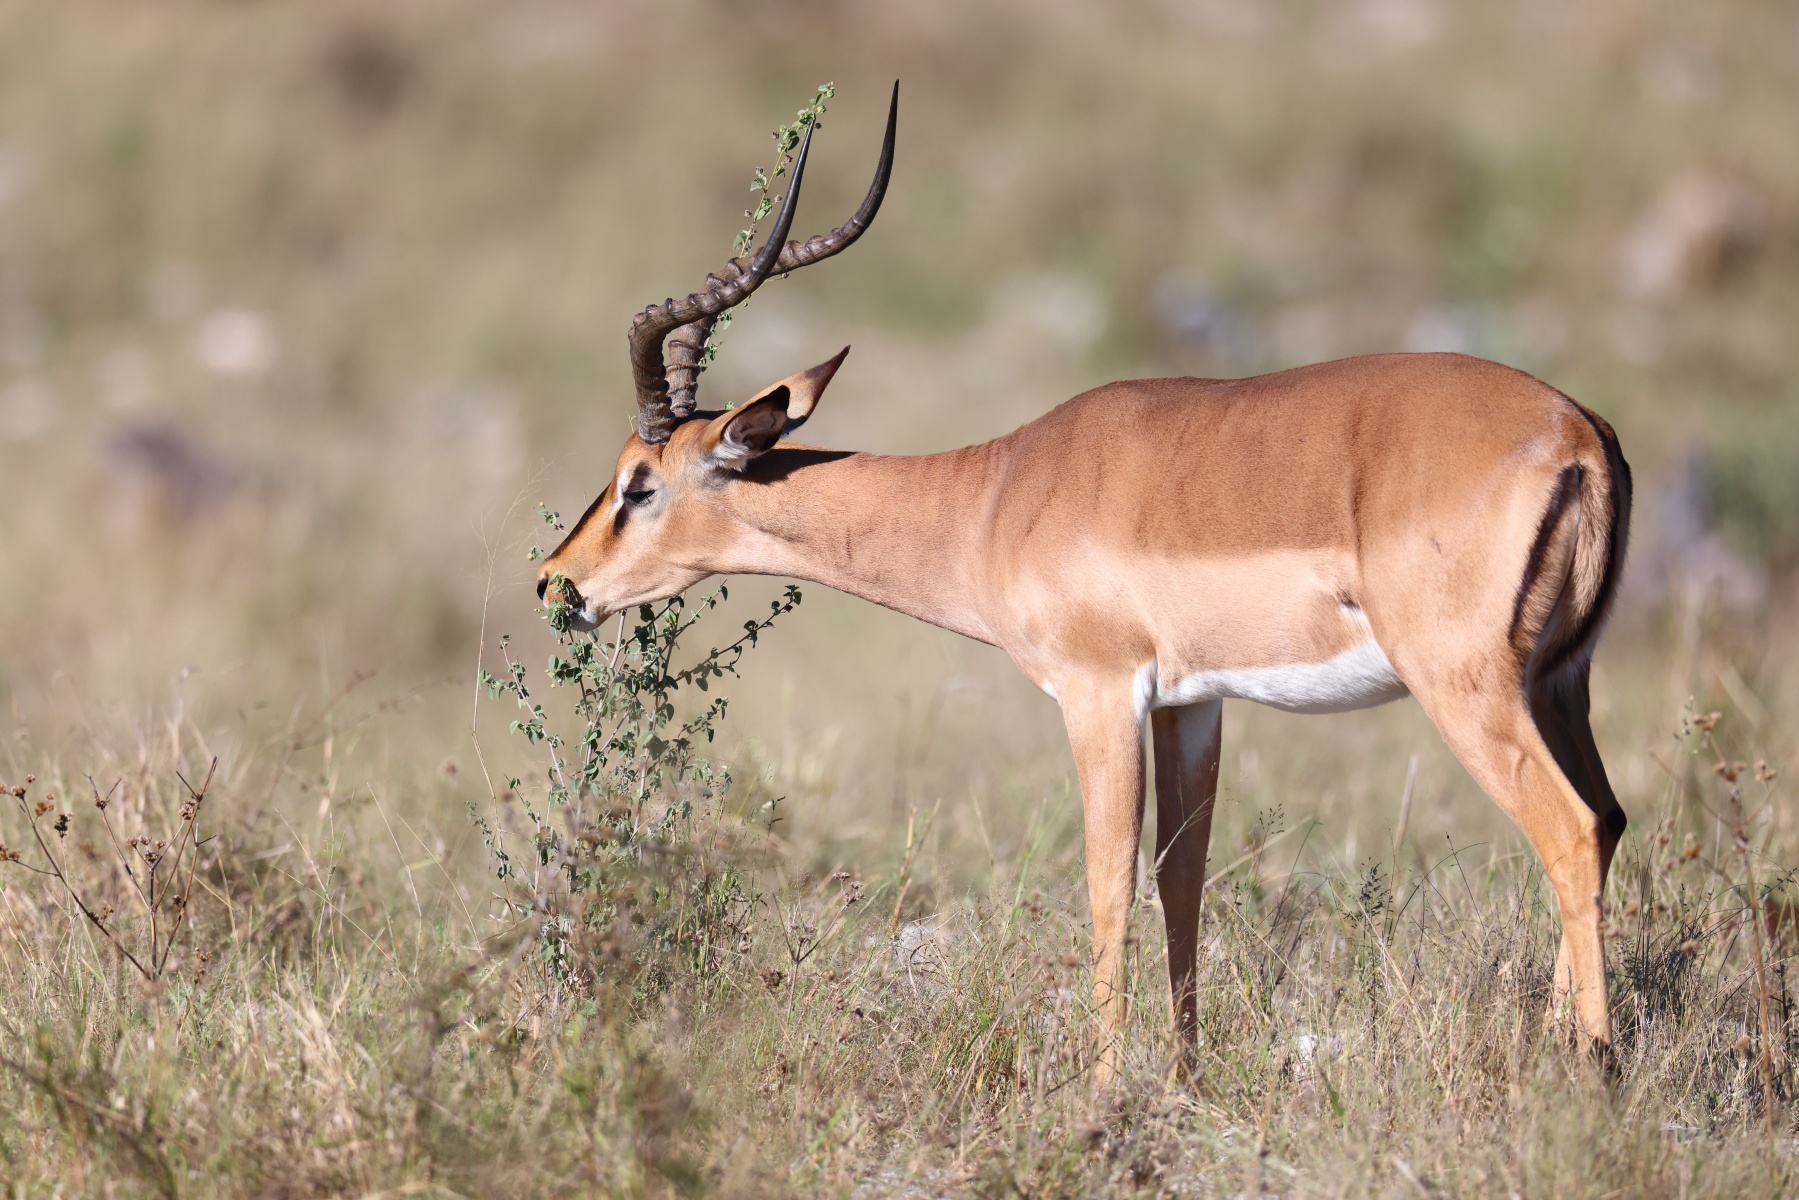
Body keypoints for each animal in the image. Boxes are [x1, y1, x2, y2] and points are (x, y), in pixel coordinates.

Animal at [540, 84, 1632, 1081]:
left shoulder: (1098, 691)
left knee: (1569, 831)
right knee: (1608, 820)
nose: (555, 583)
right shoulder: (1191, 702)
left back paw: (1589, 1066)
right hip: (1557, 684)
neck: (993, 495)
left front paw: (1101, 1093)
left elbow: (1107, 884)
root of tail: (1579, 432)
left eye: (638, 483)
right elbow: (1180, 876)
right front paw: (1184, 1078)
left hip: (1464, 686)